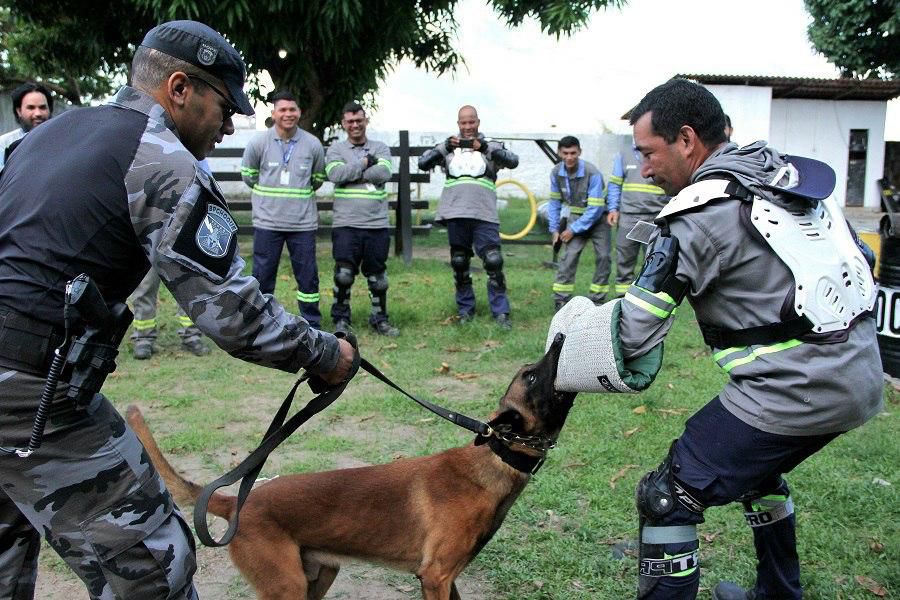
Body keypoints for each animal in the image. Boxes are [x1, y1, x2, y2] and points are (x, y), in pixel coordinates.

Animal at [125, 336, 576, 596]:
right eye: (531, 376)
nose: (560, 337)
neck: (492, 461)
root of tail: (237, 503)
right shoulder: (436, 576)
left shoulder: (447, 579)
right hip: (287, 587)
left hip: (318, 576)